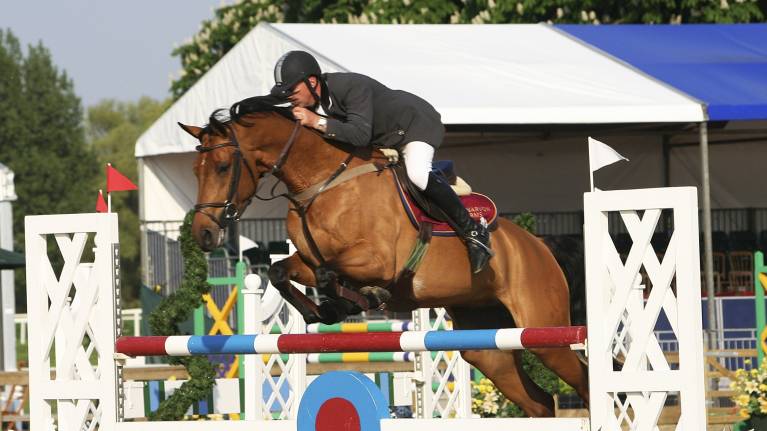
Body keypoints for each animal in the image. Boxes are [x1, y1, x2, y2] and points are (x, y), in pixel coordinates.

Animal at [179, 98, 589, 417]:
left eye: (222, 167)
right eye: (195, 170)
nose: (203, 234)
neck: (320, 182)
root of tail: (539, 246)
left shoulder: (377, 261)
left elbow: (331, 274)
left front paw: (356, 300)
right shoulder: (307, 259)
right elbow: (284, 271)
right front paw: (322, 312)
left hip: (544, 333)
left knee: (582, 381)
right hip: (487, 347)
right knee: (539, 402)